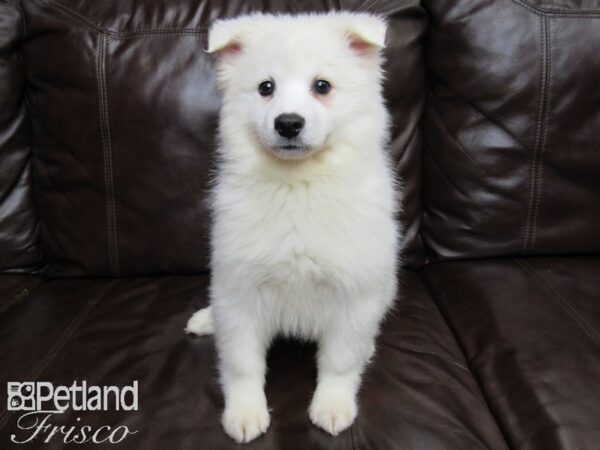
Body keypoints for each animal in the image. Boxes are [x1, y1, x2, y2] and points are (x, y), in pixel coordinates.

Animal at [185, 12, 400, 444]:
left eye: (322, 86)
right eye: (265, 87)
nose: (288, 123)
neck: (298, 184)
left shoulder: (354, 292)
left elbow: (339, 360)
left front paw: (332, 406)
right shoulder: (240, 288)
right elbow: (242, 362)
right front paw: (245, 413)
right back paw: (206, 319)